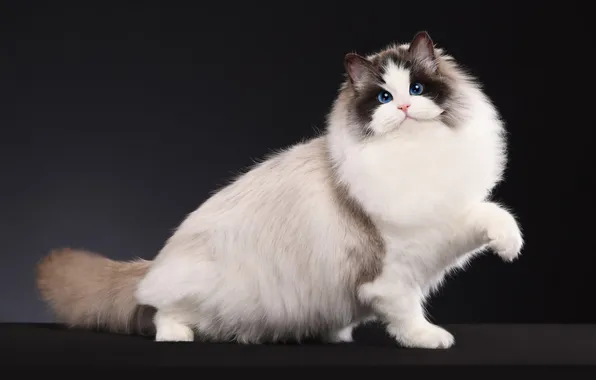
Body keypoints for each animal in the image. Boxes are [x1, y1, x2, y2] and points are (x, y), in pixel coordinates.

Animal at [36, 31, 520, 348]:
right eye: (383, 98)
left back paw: (335, 334)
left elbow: (492, 214)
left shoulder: (439, 226)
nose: (402, 107)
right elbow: (405, 310)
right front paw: (428, 338)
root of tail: (155, 263)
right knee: (160, 313)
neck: (414, 160)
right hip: (199, 288)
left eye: (417, 89)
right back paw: (178, 335)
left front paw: (509, 247)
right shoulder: (390, 269)